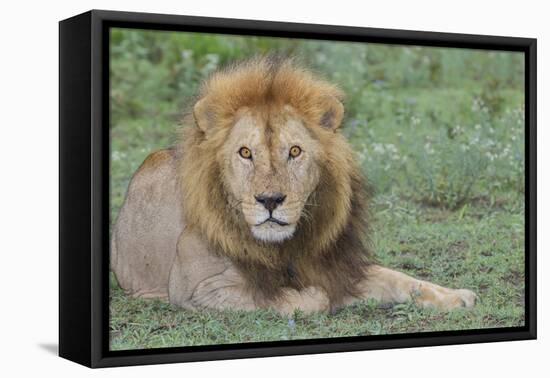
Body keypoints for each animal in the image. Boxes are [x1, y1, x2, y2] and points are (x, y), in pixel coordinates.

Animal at [112, 56, 478, 316]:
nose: (270, 200)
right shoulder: (197, 290)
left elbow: (401, 278)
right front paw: (318, 295)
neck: (285, 247)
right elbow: (303, 299)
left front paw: (456, 296)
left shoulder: (338, 265)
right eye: (245, 152)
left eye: (295, 151)